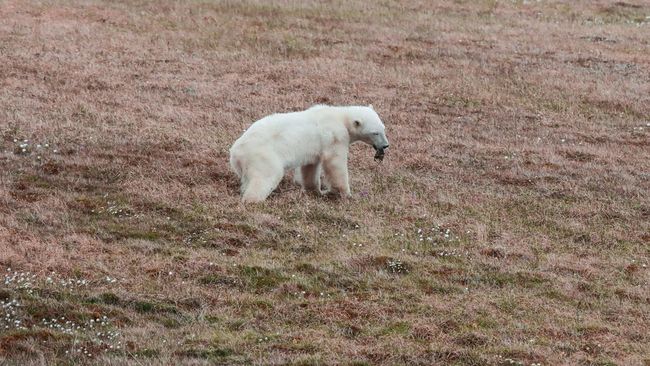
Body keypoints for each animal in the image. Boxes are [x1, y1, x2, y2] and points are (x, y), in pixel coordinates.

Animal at [229, 104, 388, 203]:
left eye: (383, 128)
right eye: (375, 132)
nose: (385, 145)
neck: (340, 116)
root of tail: (236, 153)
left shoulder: (315, 148)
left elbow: (310, 167)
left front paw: (316, 191)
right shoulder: (335, 136)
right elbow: (335, 163)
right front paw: (346, 194)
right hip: (263, 155)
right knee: (265, 176)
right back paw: (253, 200)